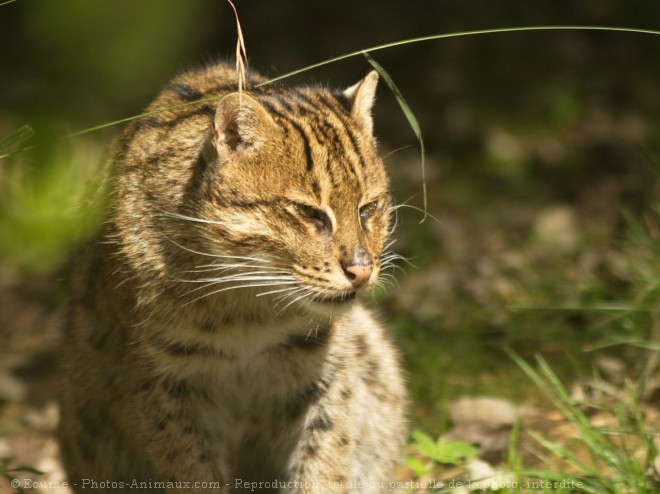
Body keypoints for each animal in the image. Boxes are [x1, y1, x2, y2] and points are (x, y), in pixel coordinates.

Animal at [58, 63, 408, 492]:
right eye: (309, 213)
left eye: (368, 208)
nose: (361, 270)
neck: (249, 304)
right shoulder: (162, 381)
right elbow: (193, 470)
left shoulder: (324, 373)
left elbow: (325, 459)